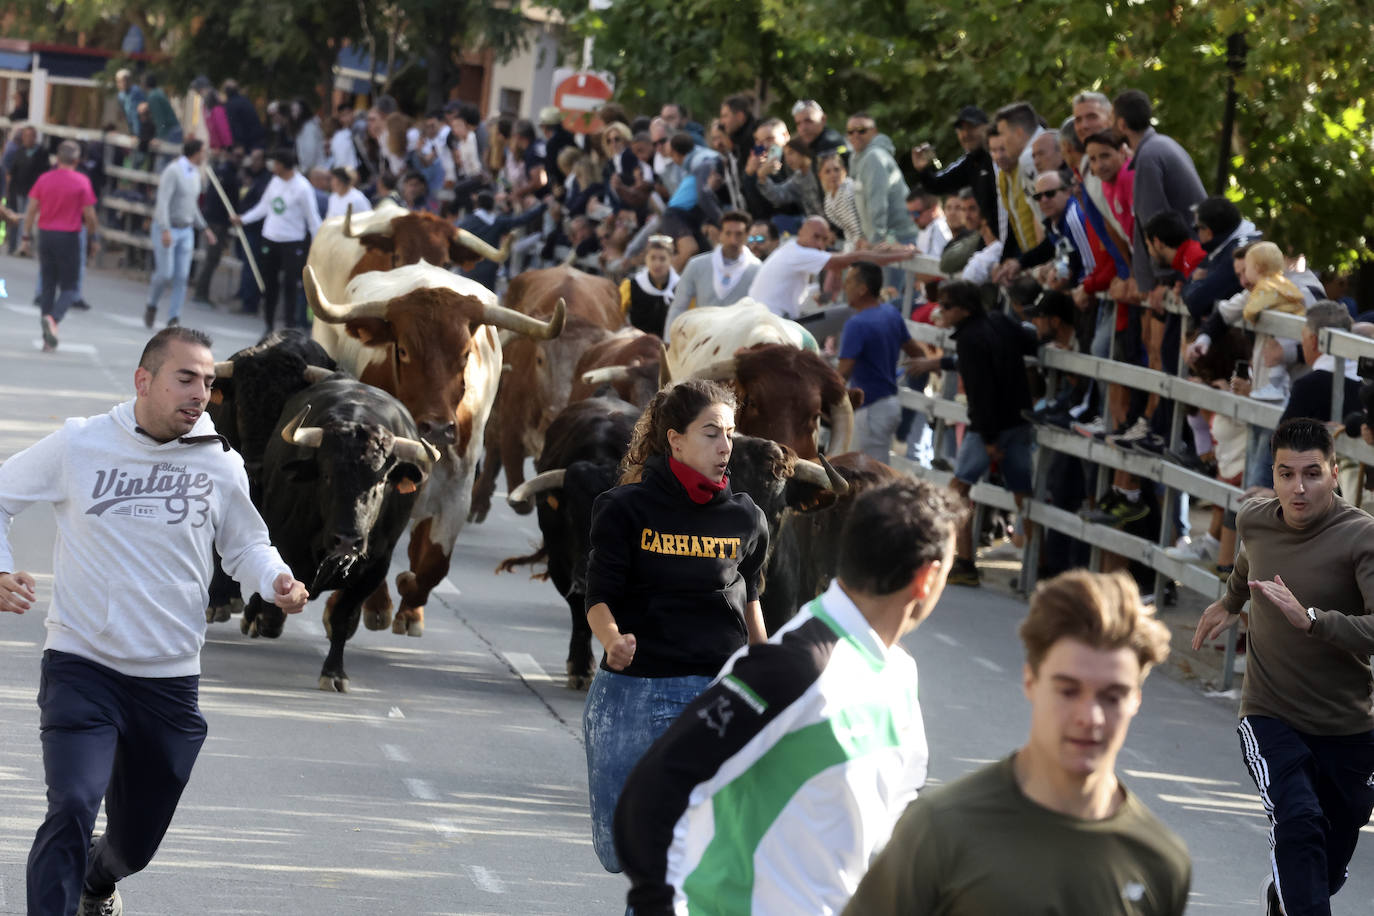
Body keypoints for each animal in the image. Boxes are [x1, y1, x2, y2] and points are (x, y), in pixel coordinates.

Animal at [248, 376, 434, 692]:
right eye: (327, 475)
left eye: (381, 481)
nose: (348, 540)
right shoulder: (279, 542)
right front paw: (263, 617)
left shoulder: (374, 569)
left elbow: (342, 619)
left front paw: (334, 672)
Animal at [306, 260, 568, 637]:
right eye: (403, 350)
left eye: (464, 354)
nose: (440, 427)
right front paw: (376, 606)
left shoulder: (457, 491)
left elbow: (434, 565)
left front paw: (409, 599)